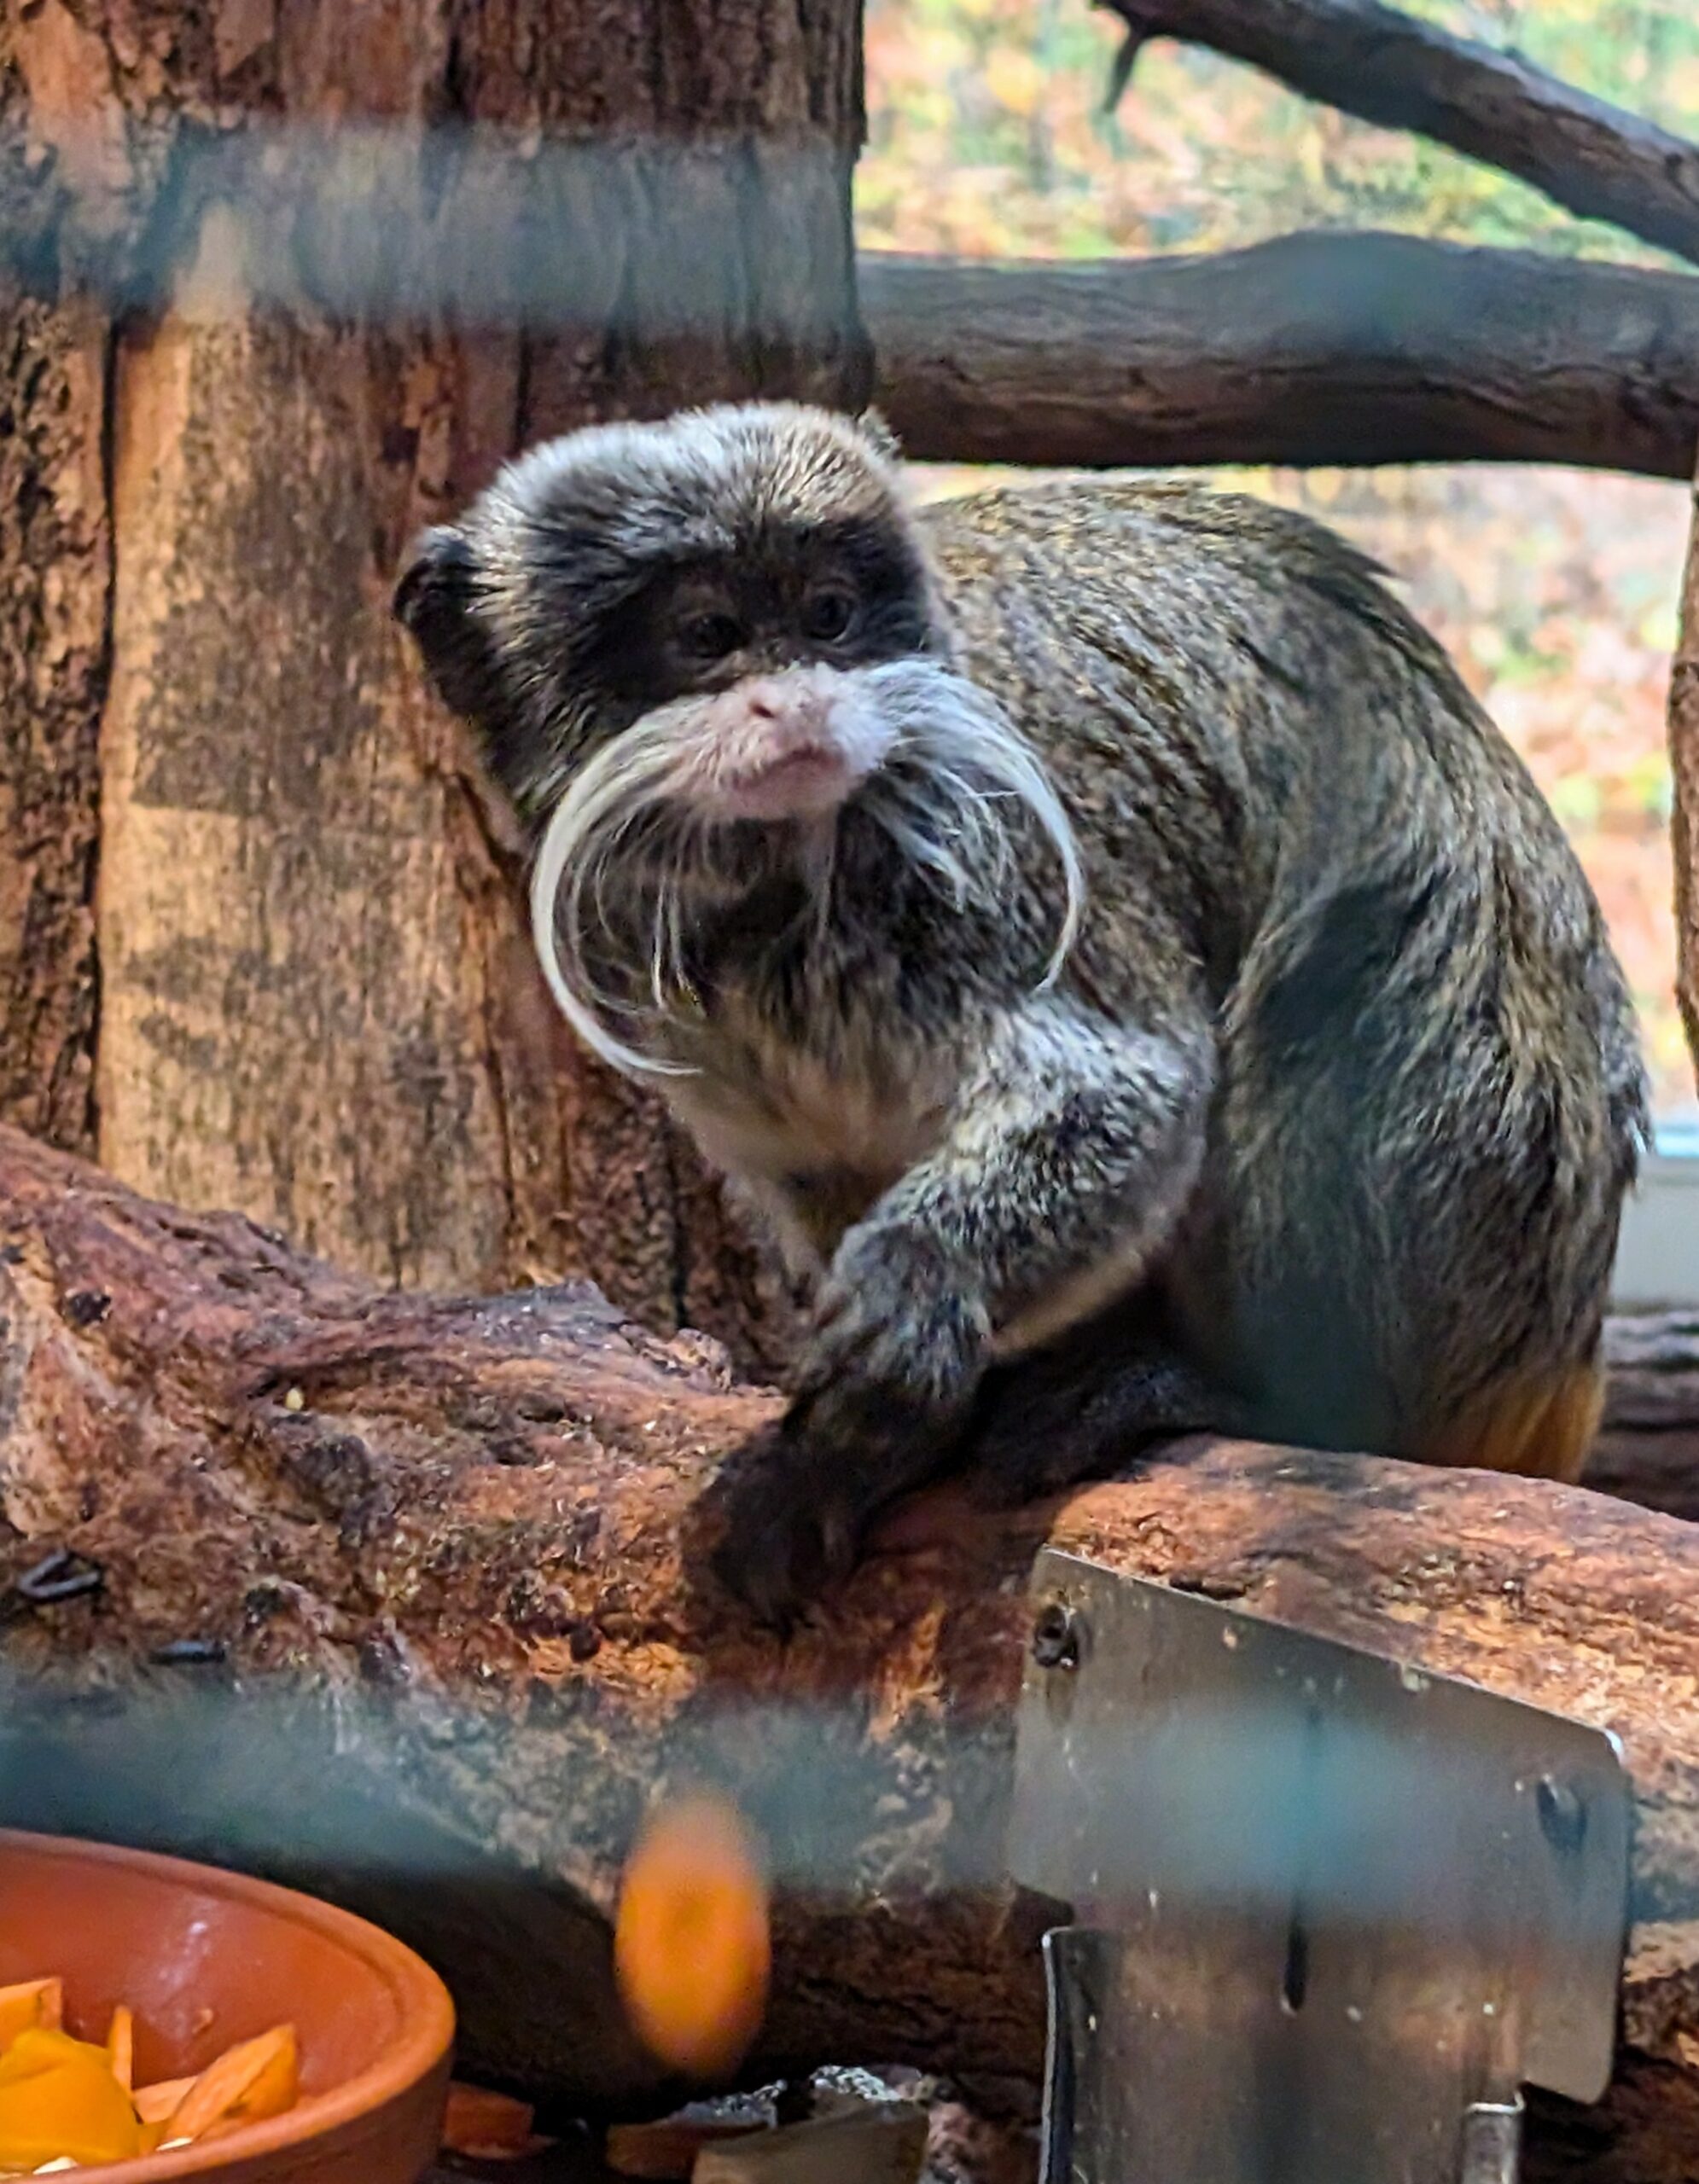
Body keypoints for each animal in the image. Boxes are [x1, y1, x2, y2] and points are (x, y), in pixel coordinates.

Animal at [393, 400, 1648, 1626]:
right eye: (706, 634)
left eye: (829, 615)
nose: (798, 702)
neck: (776, 882)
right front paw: (862, 1451)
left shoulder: (1000, 829)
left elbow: (1124, 1084)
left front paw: (920, 1282)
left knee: (1343, 975)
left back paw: (1232, 1395)